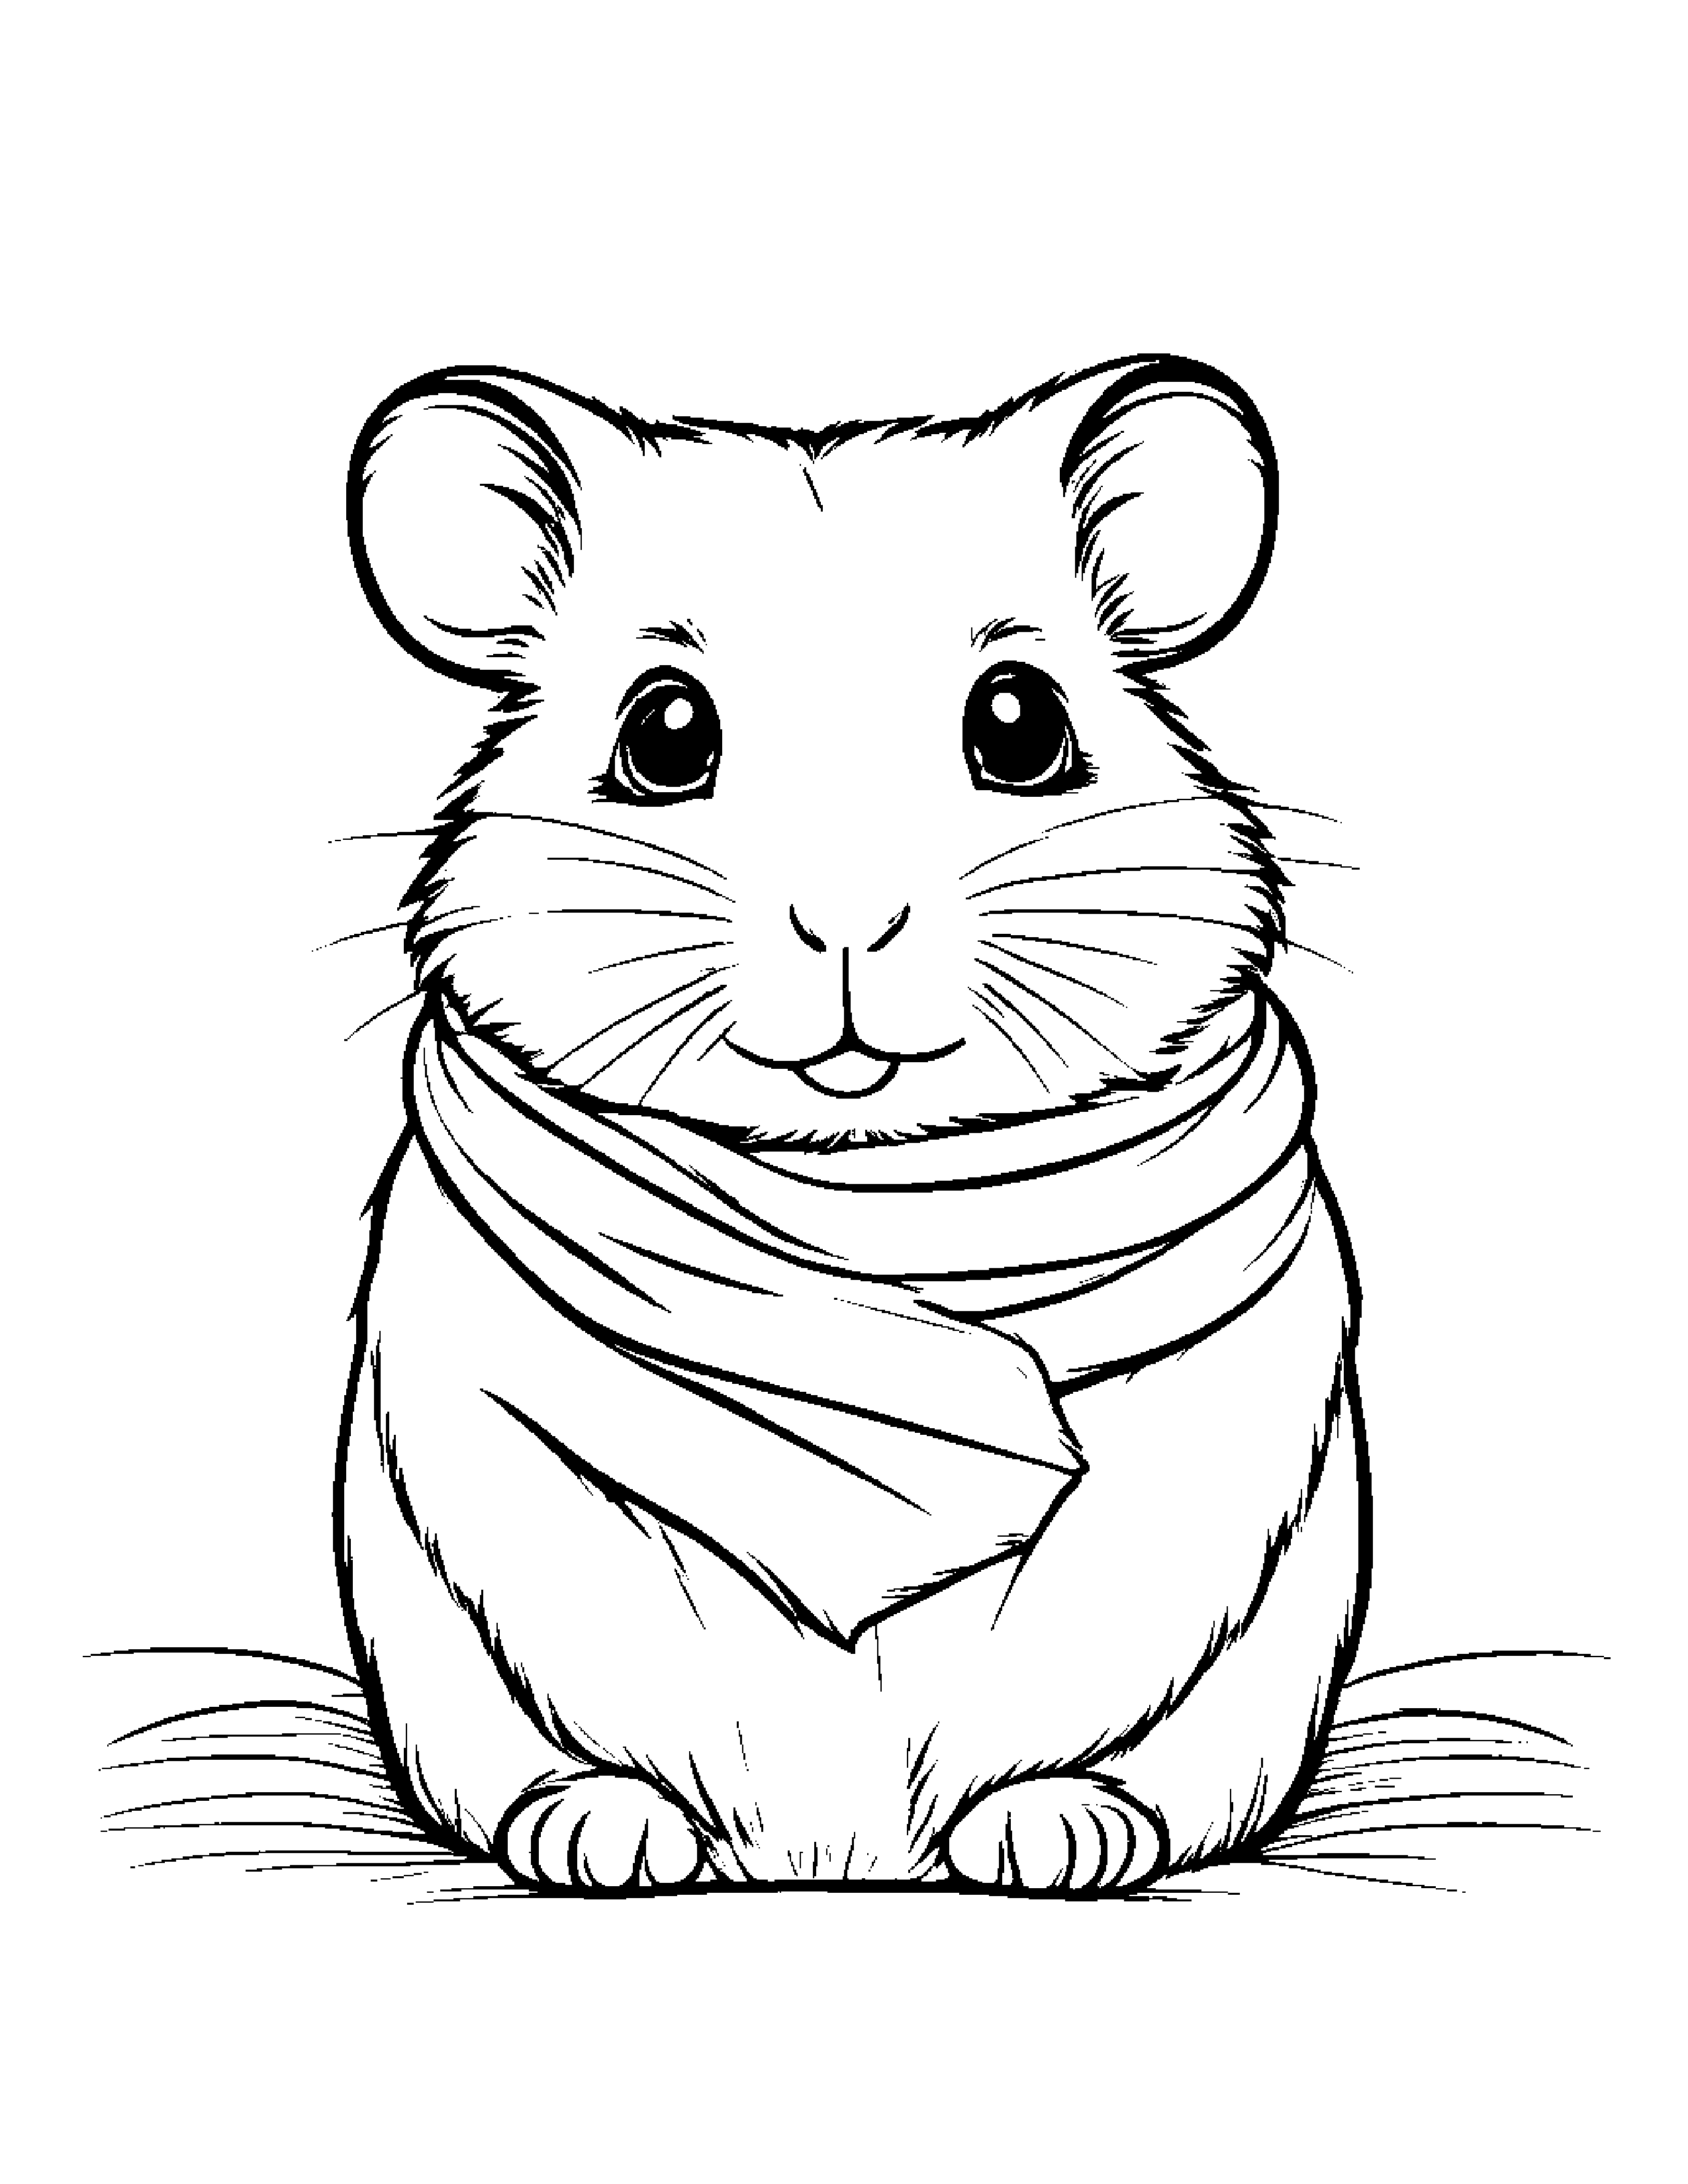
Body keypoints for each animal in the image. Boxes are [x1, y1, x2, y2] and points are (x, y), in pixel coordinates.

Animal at [337, 357, 1367, 1893]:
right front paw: (609, 1839)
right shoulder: (442, 1514)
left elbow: (1168, 1729)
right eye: (665, 731)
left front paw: (1055, 1837)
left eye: (1020, 722)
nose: (847, 925)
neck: (859, 1212)